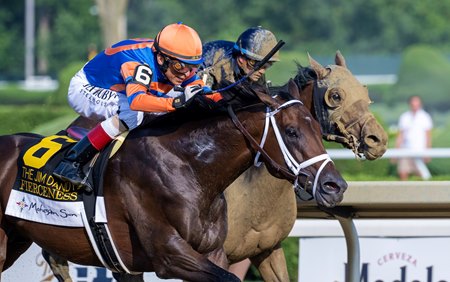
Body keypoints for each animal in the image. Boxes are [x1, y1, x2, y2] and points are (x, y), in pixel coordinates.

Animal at [0, 81, 346, 280]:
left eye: (318, 129)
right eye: (292, 132)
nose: (335, 186)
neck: (190, 168)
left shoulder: (214, 251)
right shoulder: (170, 254)